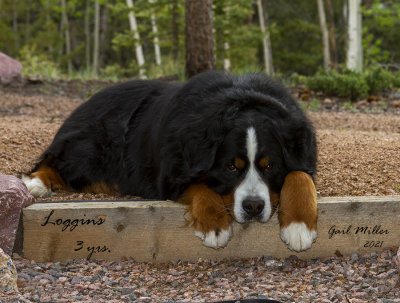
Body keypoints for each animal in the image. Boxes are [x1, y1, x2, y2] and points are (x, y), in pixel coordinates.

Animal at [22, 70, 318, 252]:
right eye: (231, 167)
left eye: (270, 166)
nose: (254, 207)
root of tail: (87, 101)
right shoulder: (172, 172)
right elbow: (199, 186)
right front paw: (215, 227)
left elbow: (300, 176)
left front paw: (299, 226)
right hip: (89, 149)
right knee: (55, 161)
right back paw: (36, 183)